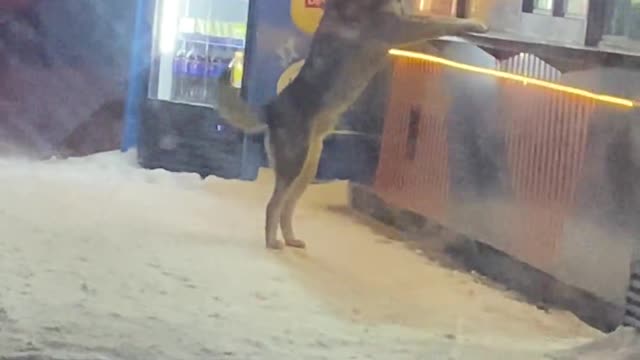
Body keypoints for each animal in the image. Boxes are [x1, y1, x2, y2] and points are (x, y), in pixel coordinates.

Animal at [215, 0, 484, 249]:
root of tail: (271, 108)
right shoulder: (397, 28)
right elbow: (442, 23)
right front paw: (473, 24)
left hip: (307, 169)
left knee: (286, 208)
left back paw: (291, 239)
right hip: (294, 165)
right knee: (273, 205)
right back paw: (272, 242)